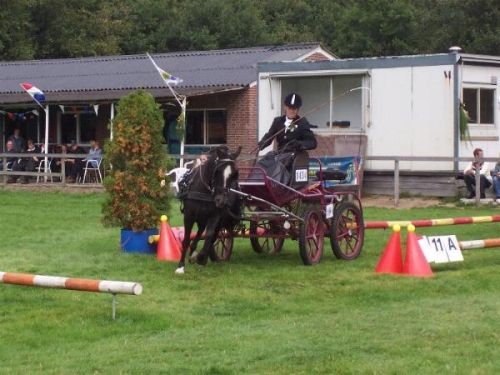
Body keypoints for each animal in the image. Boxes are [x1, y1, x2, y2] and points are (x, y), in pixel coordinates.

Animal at [175, 145, 241, 274]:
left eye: (233, 175)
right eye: (217, 172)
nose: (221, 201)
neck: (204, 191)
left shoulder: (214, 216)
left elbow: (209, 235)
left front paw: (201, 258)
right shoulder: (189, 216)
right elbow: (186, 239)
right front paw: (180, 266)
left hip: (219, 220)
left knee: (215, 235)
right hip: (200, 218)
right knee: (200, 232)